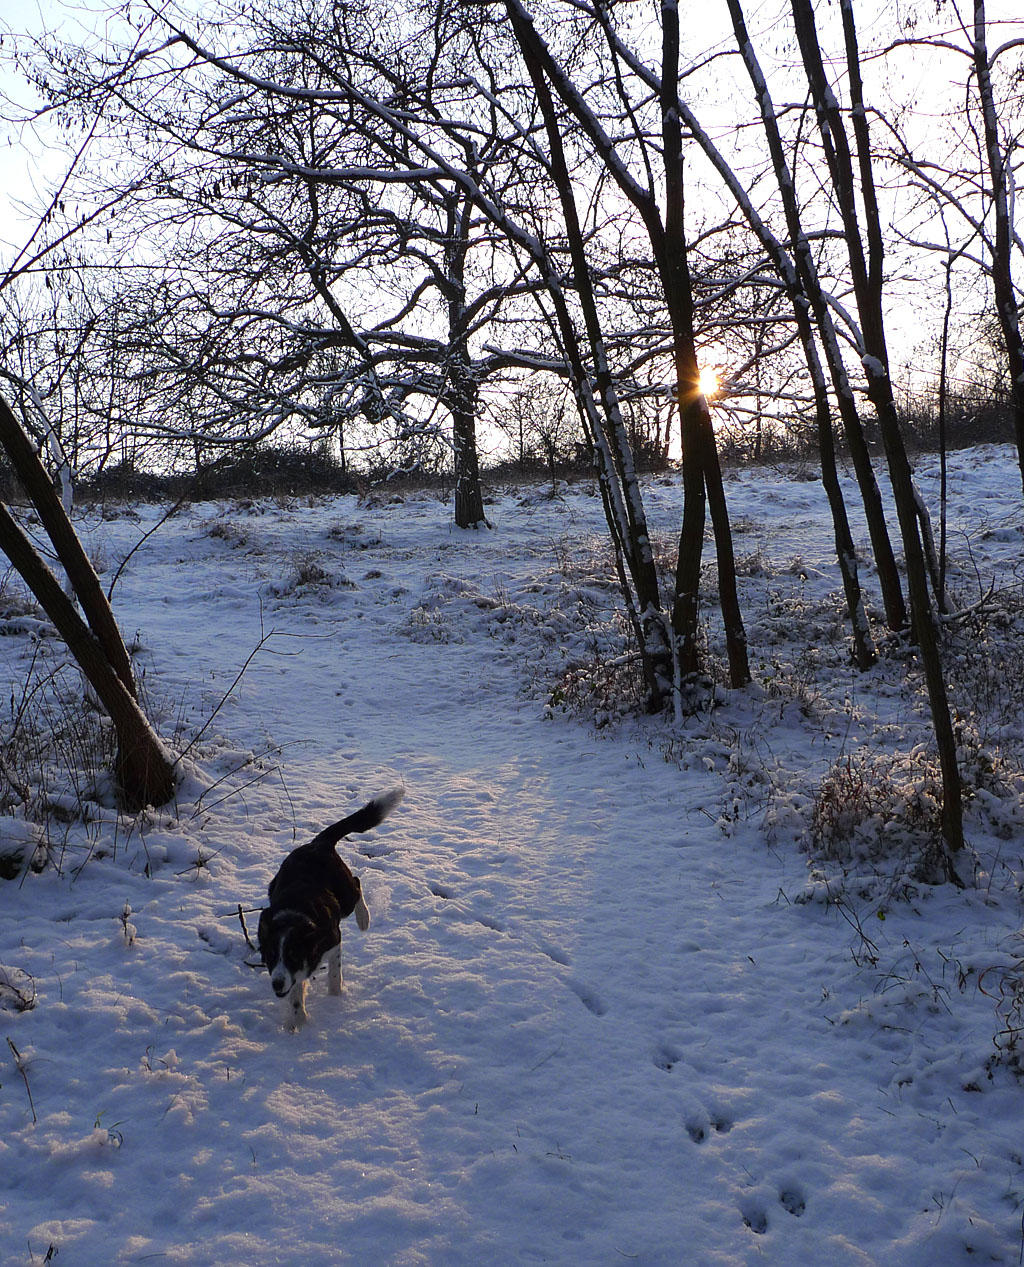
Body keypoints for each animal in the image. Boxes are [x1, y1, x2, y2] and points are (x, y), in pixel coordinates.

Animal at [258, 790, 403, 1028]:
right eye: (270, 955)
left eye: (293, 956)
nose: (276, 984)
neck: (294, 917)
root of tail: (319, 843)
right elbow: (295, 993)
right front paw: (297, 1021)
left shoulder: (334, 942)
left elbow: (334, 975)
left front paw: (335, 998)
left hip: (345, 895)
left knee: (357, 883)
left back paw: (364, 919)